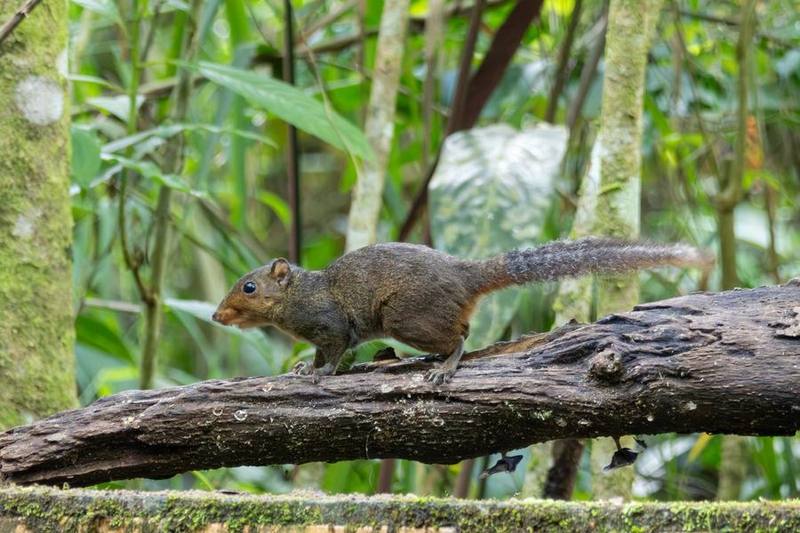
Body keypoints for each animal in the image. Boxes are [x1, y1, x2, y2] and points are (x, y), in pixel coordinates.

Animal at [212, 238, 712, 384]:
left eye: (249, 287)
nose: (217, 317)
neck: (298, 297)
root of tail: (464, 274)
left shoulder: (331, 324)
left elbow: (334, 354)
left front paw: (319, 374)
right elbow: (318, 353)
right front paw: (302, 368)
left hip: (404, 317)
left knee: (462, 335)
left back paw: (445, 365)